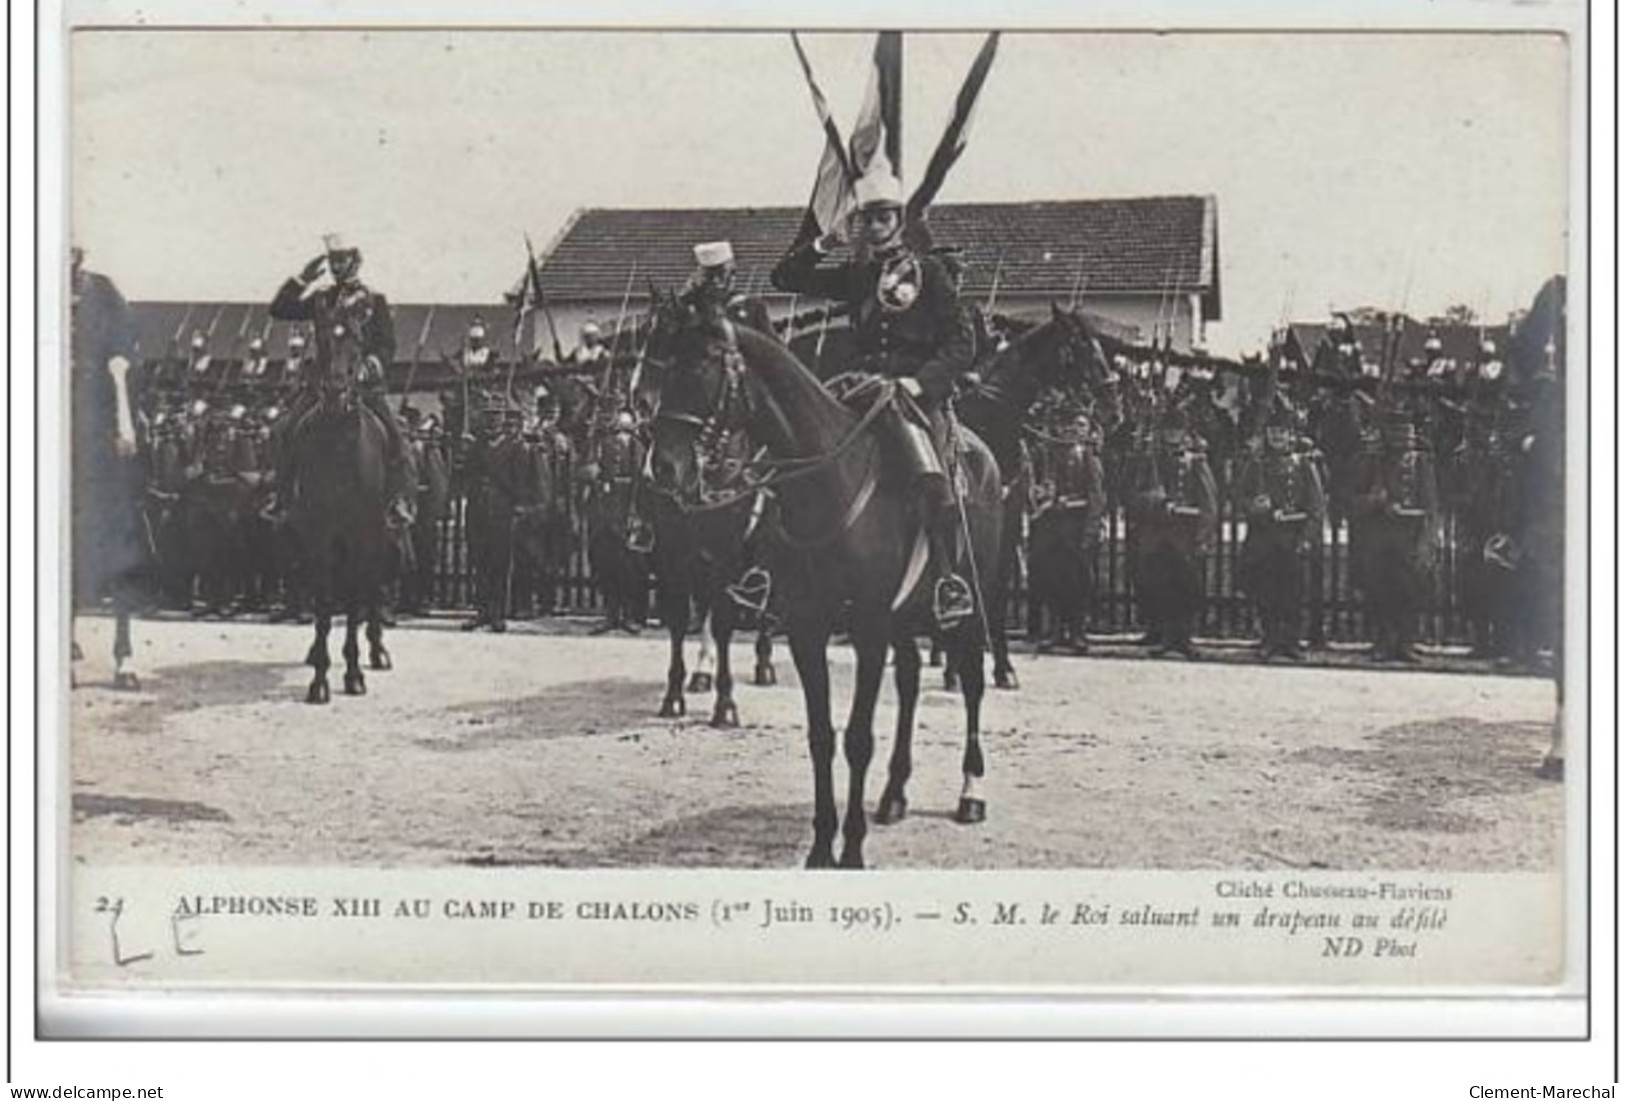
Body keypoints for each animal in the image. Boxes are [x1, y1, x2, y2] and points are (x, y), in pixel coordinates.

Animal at [646, 300, 1001, 870]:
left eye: (700, 368)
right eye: (662, 367)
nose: (663, 466)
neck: (827, 483)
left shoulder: (869, 629)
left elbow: (857, 738)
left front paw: (851, 849)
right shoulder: (807, 628)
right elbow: (820, 736)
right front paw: (819, 847)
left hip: (972, 603)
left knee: (970, 683)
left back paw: (971, 793)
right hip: (902, 620)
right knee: (908, 683)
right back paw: (894, 794)